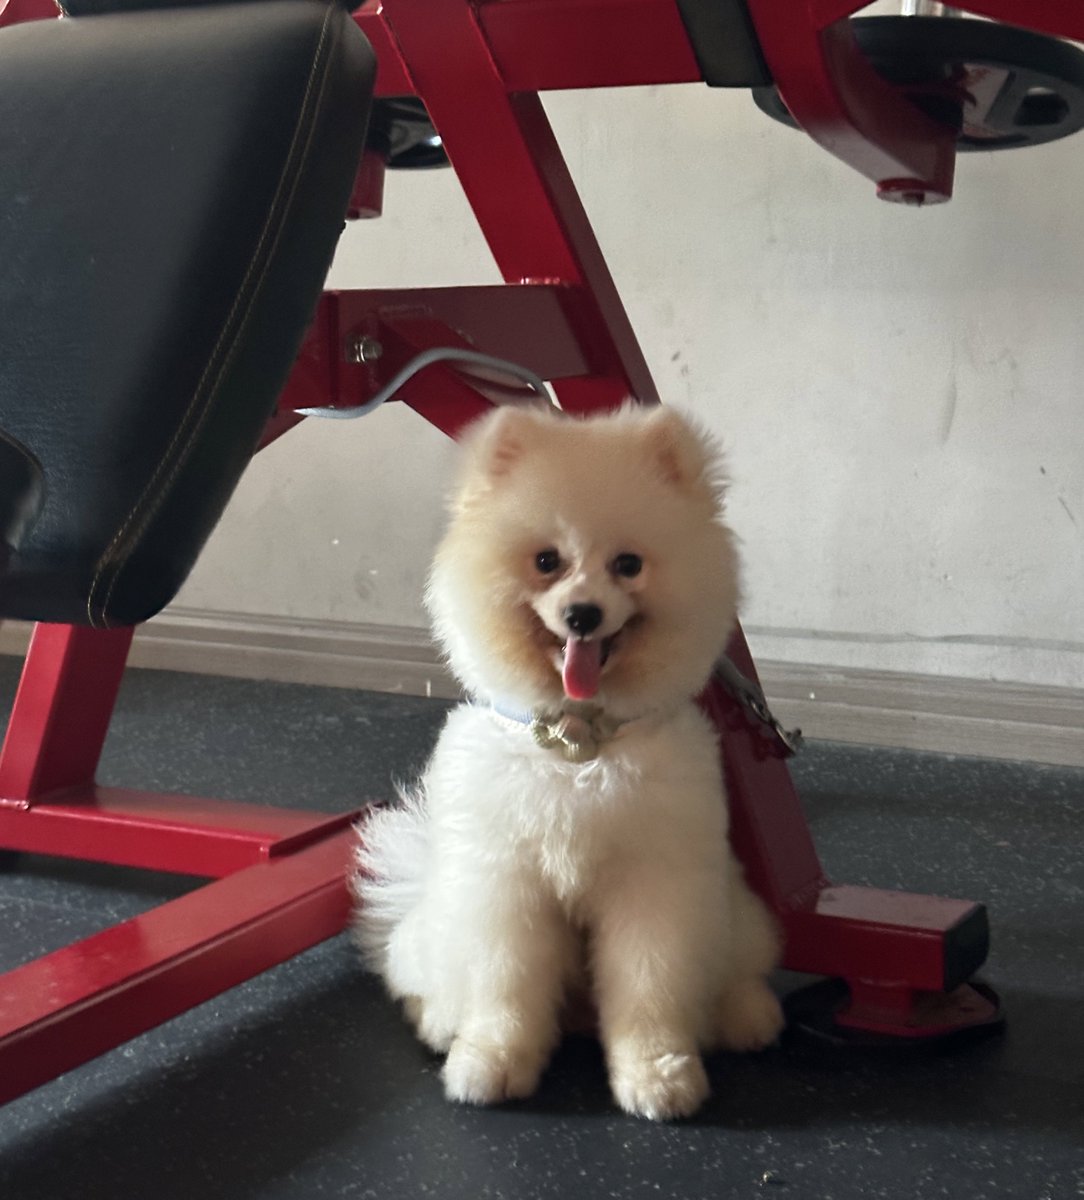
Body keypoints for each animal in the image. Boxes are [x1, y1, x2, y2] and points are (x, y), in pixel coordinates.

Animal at [351, 402, 783, 1120]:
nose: (583, 614)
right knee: (420, 980)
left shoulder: (652, 887)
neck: (578, 746)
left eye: (628, 564)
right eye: (547, 561)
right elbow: (505, 992)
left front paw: (658, 1074)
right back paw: (441, 1021)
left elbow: (651, 989)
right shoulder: (505, 887)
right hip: (434, 923)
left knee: (736, 968)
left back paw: (745, 1015)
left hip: (733, 914)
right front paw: (490, 1064)